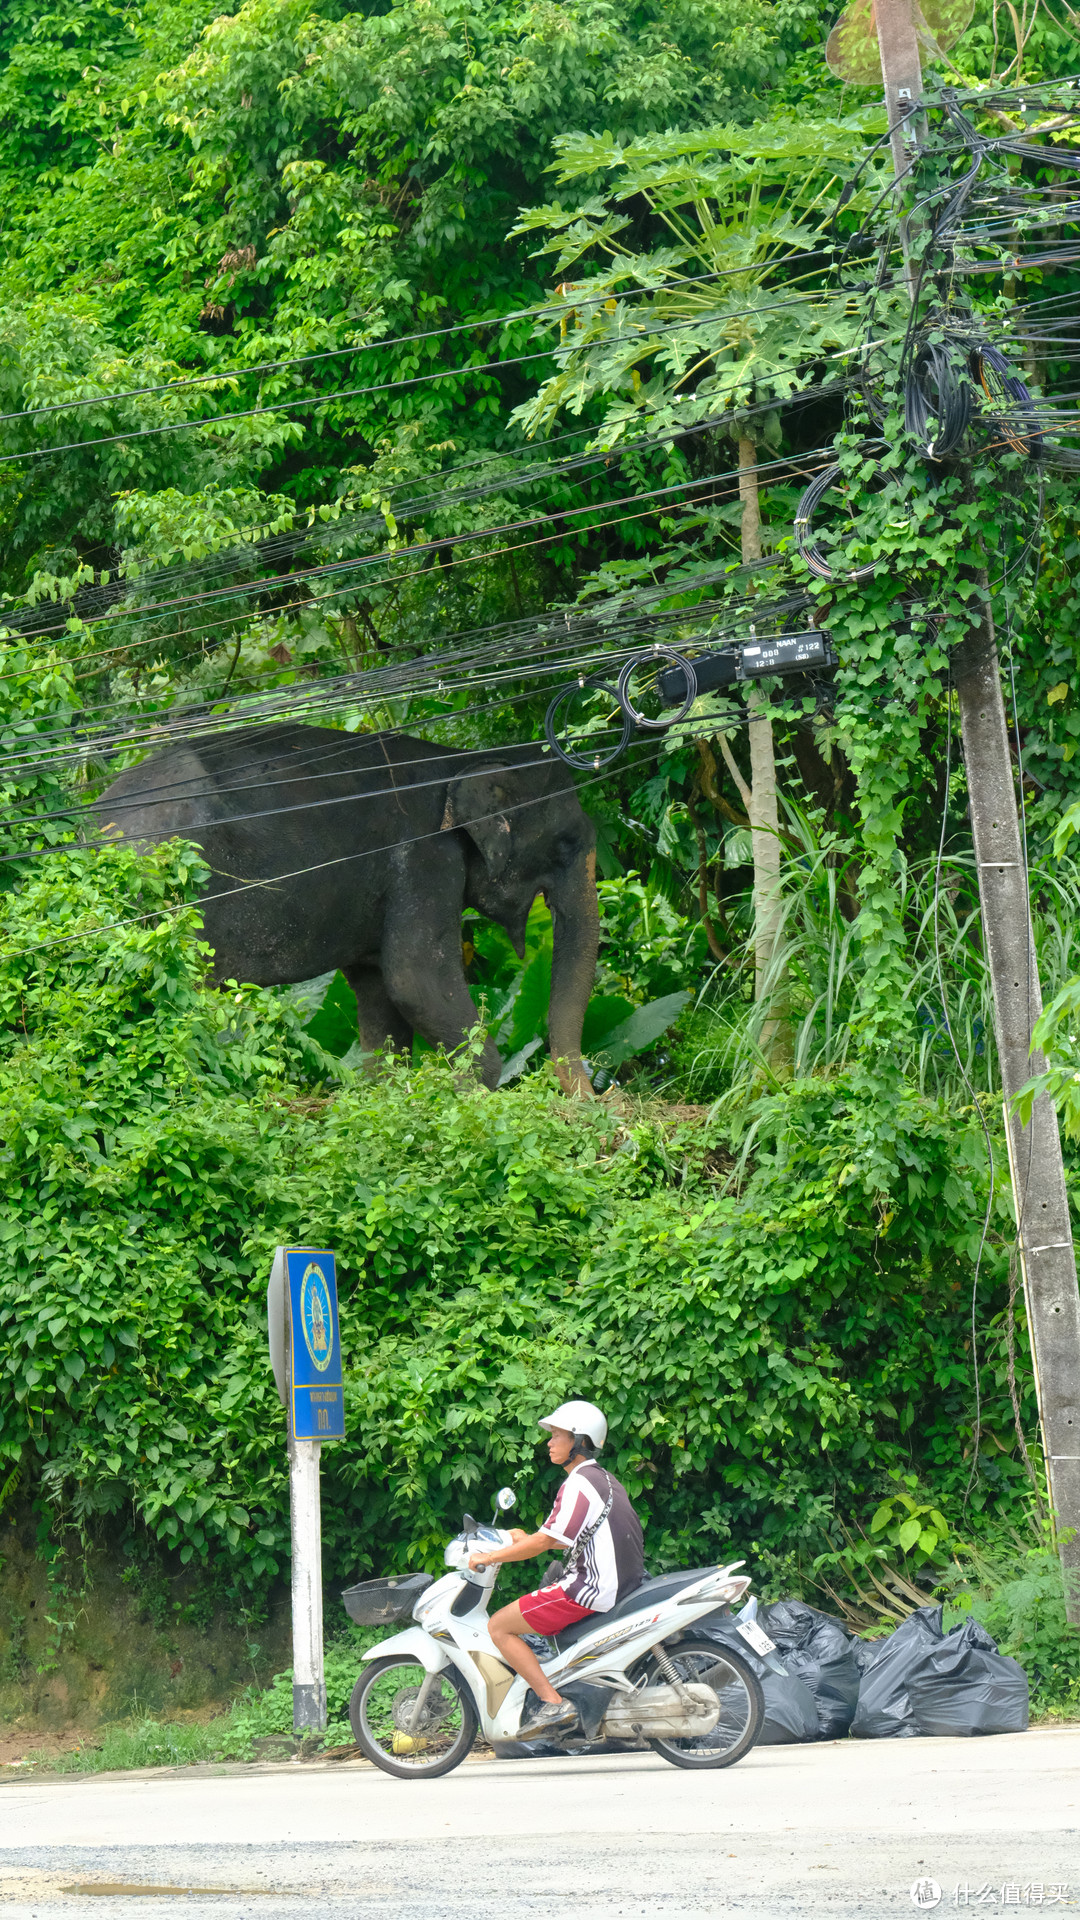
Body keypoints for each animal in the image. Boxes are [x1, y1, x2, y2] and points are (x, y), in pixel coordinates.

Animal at [92, 721, 595, 1090]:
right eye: (565, 844)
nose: (590, 1105)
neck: (459, 760)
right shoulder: (424, 856)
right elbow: (415, 979)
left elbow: (380, 990)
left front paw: (384, 1094)